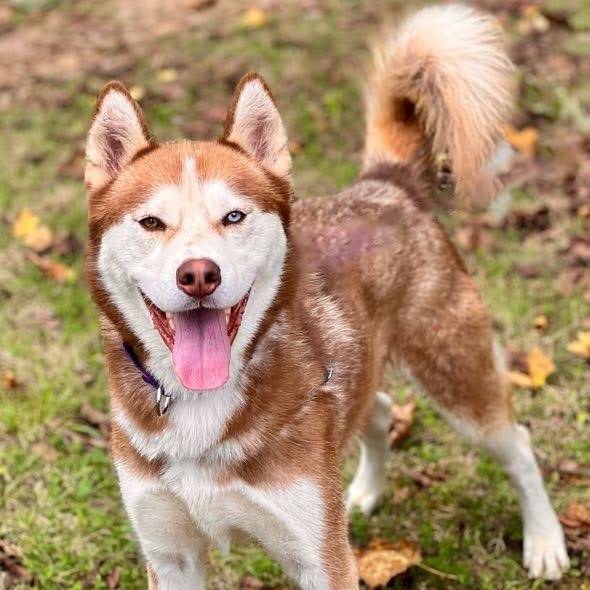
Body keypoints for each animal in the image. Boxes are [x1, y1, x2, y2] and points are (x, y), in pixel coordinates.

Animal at [85, 3, 572, 588]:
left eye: (234, 216)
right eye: (152, 222)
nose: (198, 275)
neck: (203, 402)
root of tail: (384, 184)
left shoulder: (320, 556)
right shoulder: (169, 553)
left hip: (457, 375)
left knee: (516, 442)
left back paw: (544, 541)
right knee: (378, 407)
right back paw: (363, 491)